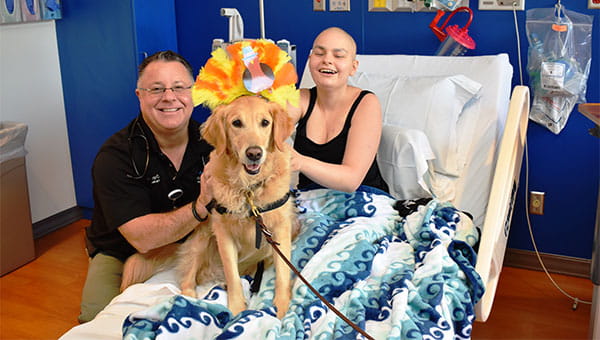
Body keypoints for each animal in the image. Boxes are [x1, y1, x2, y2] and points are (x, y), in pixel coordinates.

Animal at [121, 95, 298, 318]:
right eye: (236, 123)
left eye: (265, 123)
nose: (254, 153)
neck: (248, 189)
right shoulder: (223, 234)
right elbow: (232, 275)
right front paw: (237, 309)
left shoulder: (281, 227)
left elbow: (282, 272)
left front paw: (282, 308)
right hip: (200, 238)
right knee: (188, 278)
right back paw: (188, 299)